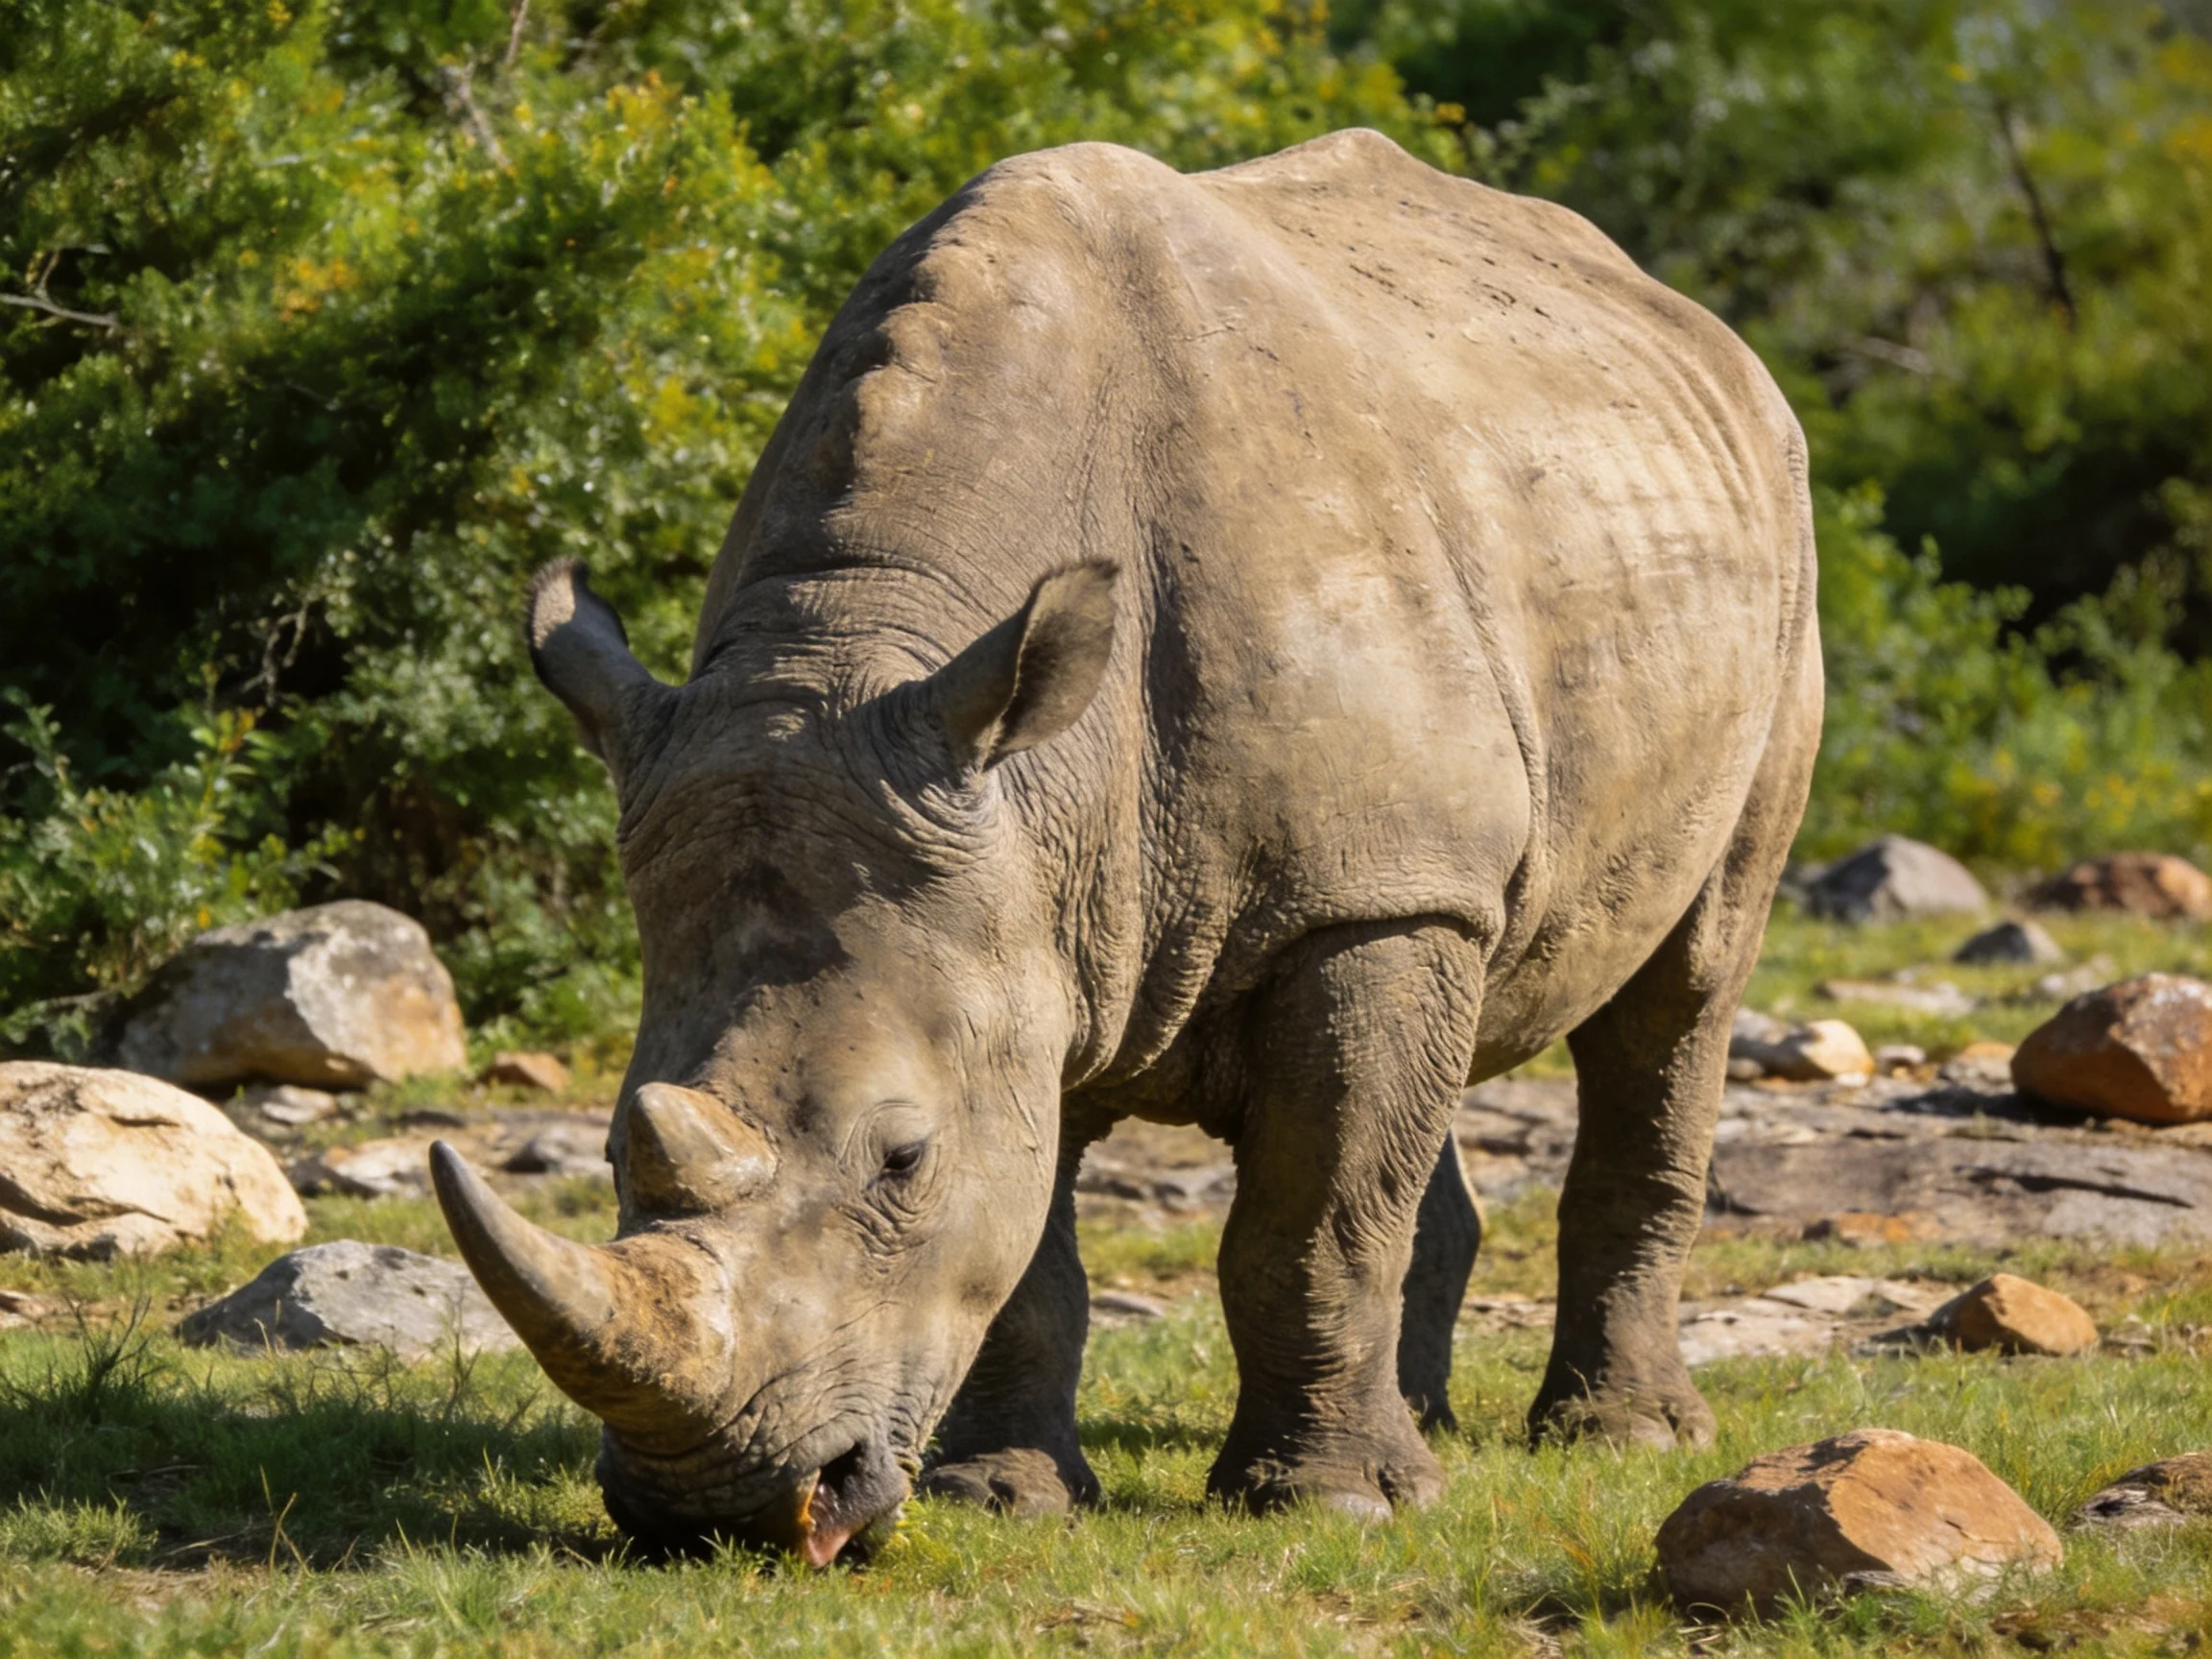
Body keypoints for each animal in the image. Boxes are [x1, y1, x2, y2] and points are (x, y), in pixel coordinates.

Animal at [432, 128, 1820, 1562]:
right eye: (611, 1152)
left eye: (902, 1159)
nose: (719, 1512)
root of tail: (1685, 318)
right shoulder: (1039, 913)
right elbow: (1037, 1235)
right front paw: (1004, 1495)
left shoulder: (1355, 892)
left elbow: (1312, 1217)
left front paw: (1325, 1505)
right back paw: (1427, 1430)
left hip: (1767, 563)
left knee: (1687, 979)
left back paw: (1619, 1436)